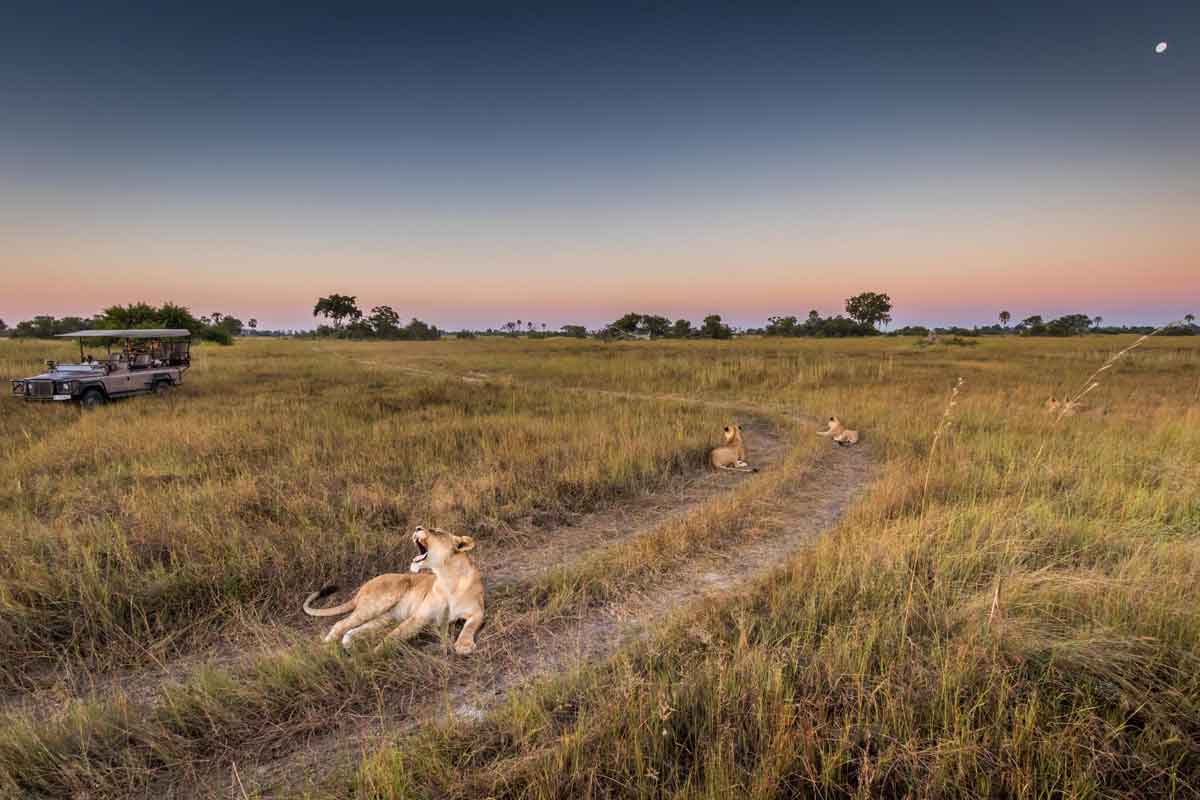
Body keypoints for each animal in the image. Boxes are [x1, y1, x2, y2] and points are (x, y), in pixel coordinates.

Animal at [302, 527, 484, 652]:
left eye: (436, 531)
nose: (417, 528)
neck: (447, 577)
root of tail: (361, 589)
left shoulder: (478, 610)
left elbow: (470, 626)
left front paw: (464, 644)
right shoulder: (419, 617)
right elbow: (393, 636)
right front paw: (374, 655)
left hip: (385, 618)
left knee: (354, 628)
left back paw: (347, 645)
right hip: (384, 598)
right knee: (341, 624)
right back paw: (325, 648)